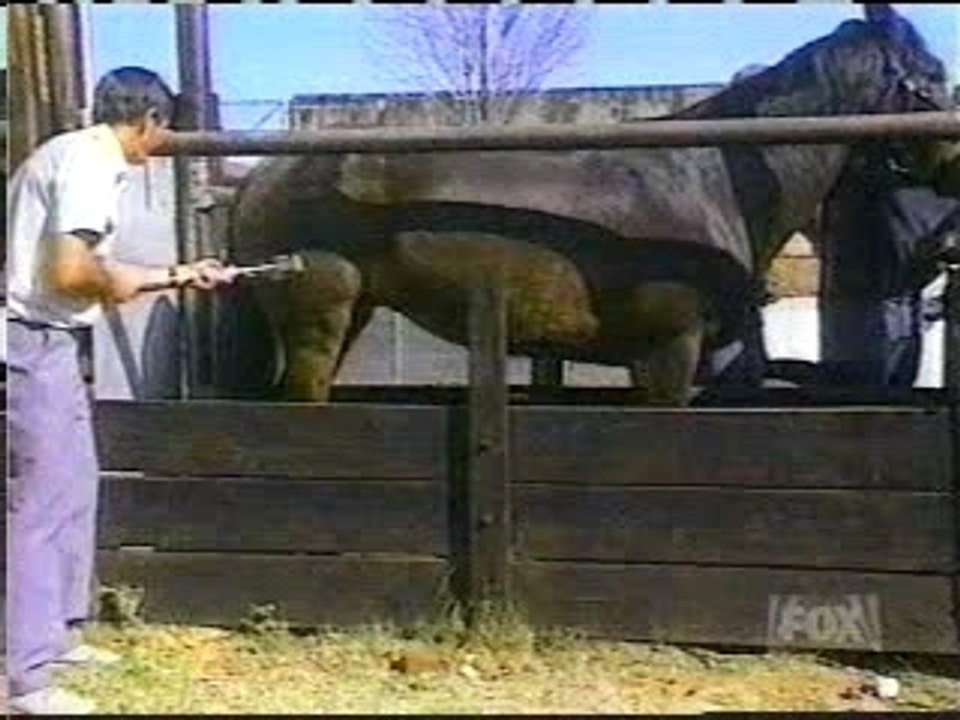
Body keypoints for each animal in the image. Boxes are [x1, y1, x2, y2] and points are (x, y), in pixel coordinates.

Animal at [224, 4, 956, 405]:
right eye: (932, 78)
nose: (951, 170)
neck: (711, 179)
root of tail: (265, 176)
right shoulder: (667, 350)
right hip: (319, 316)